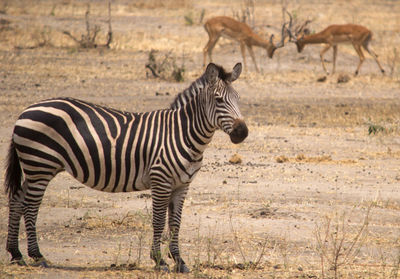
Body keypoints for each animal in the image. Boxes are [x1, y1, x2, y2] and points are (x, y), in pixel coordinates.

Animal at [3, 63, 247, 274]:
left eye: (238, 99)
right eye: (218, 100)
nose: (242, 132)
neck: (182, 133)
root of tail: (25, 111)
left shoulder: (182, 185)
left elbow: (175, 224)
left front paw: (179, 261)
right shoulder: (160, 180)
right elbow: (159, 221)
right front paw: (159, 261)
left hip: (37, 168)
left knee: (16, 200)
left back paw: (16, 254)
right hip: (40, 166)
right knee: (30, 207)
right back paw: (37, 256)